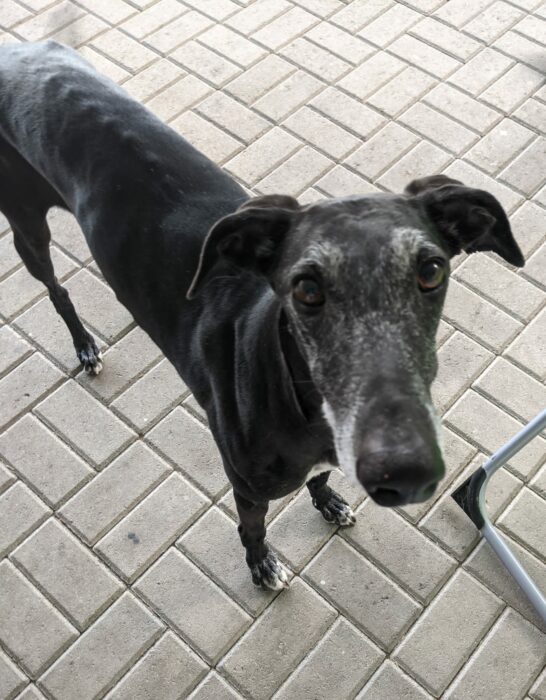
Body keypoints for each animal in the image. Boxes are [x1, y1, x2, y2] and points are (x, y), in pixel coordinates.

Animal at [0, 42, 524, 590]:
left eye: (431, 271)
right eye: (306, 288)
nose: (403, 475)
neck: (294, 391)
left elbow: (320, 477)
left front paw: (329, 501)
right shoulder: (247, 486)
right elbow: (252, 529)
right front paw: (261, 565)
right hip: (25, 223)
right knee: (55, 288)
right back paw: (84, 346)